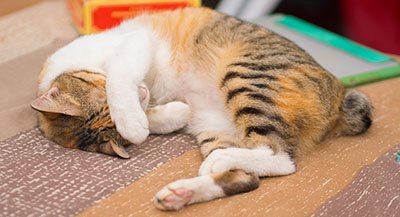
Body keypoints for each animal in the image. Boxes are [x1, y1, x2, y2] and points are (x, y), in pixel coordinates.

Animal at [30, 6, 372, 210]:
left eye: (103, 102)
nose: (143, 94)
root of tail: (339, 97)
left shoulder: (134, 44)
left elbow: (120, 79)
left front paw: (134, 122)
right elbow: (157, 112)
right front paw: (163, 116)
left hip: (244, 75)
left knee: (281, 158)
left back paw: (214, 165)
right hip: (213, 125)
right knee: (249, 177)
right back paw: (183, 192)